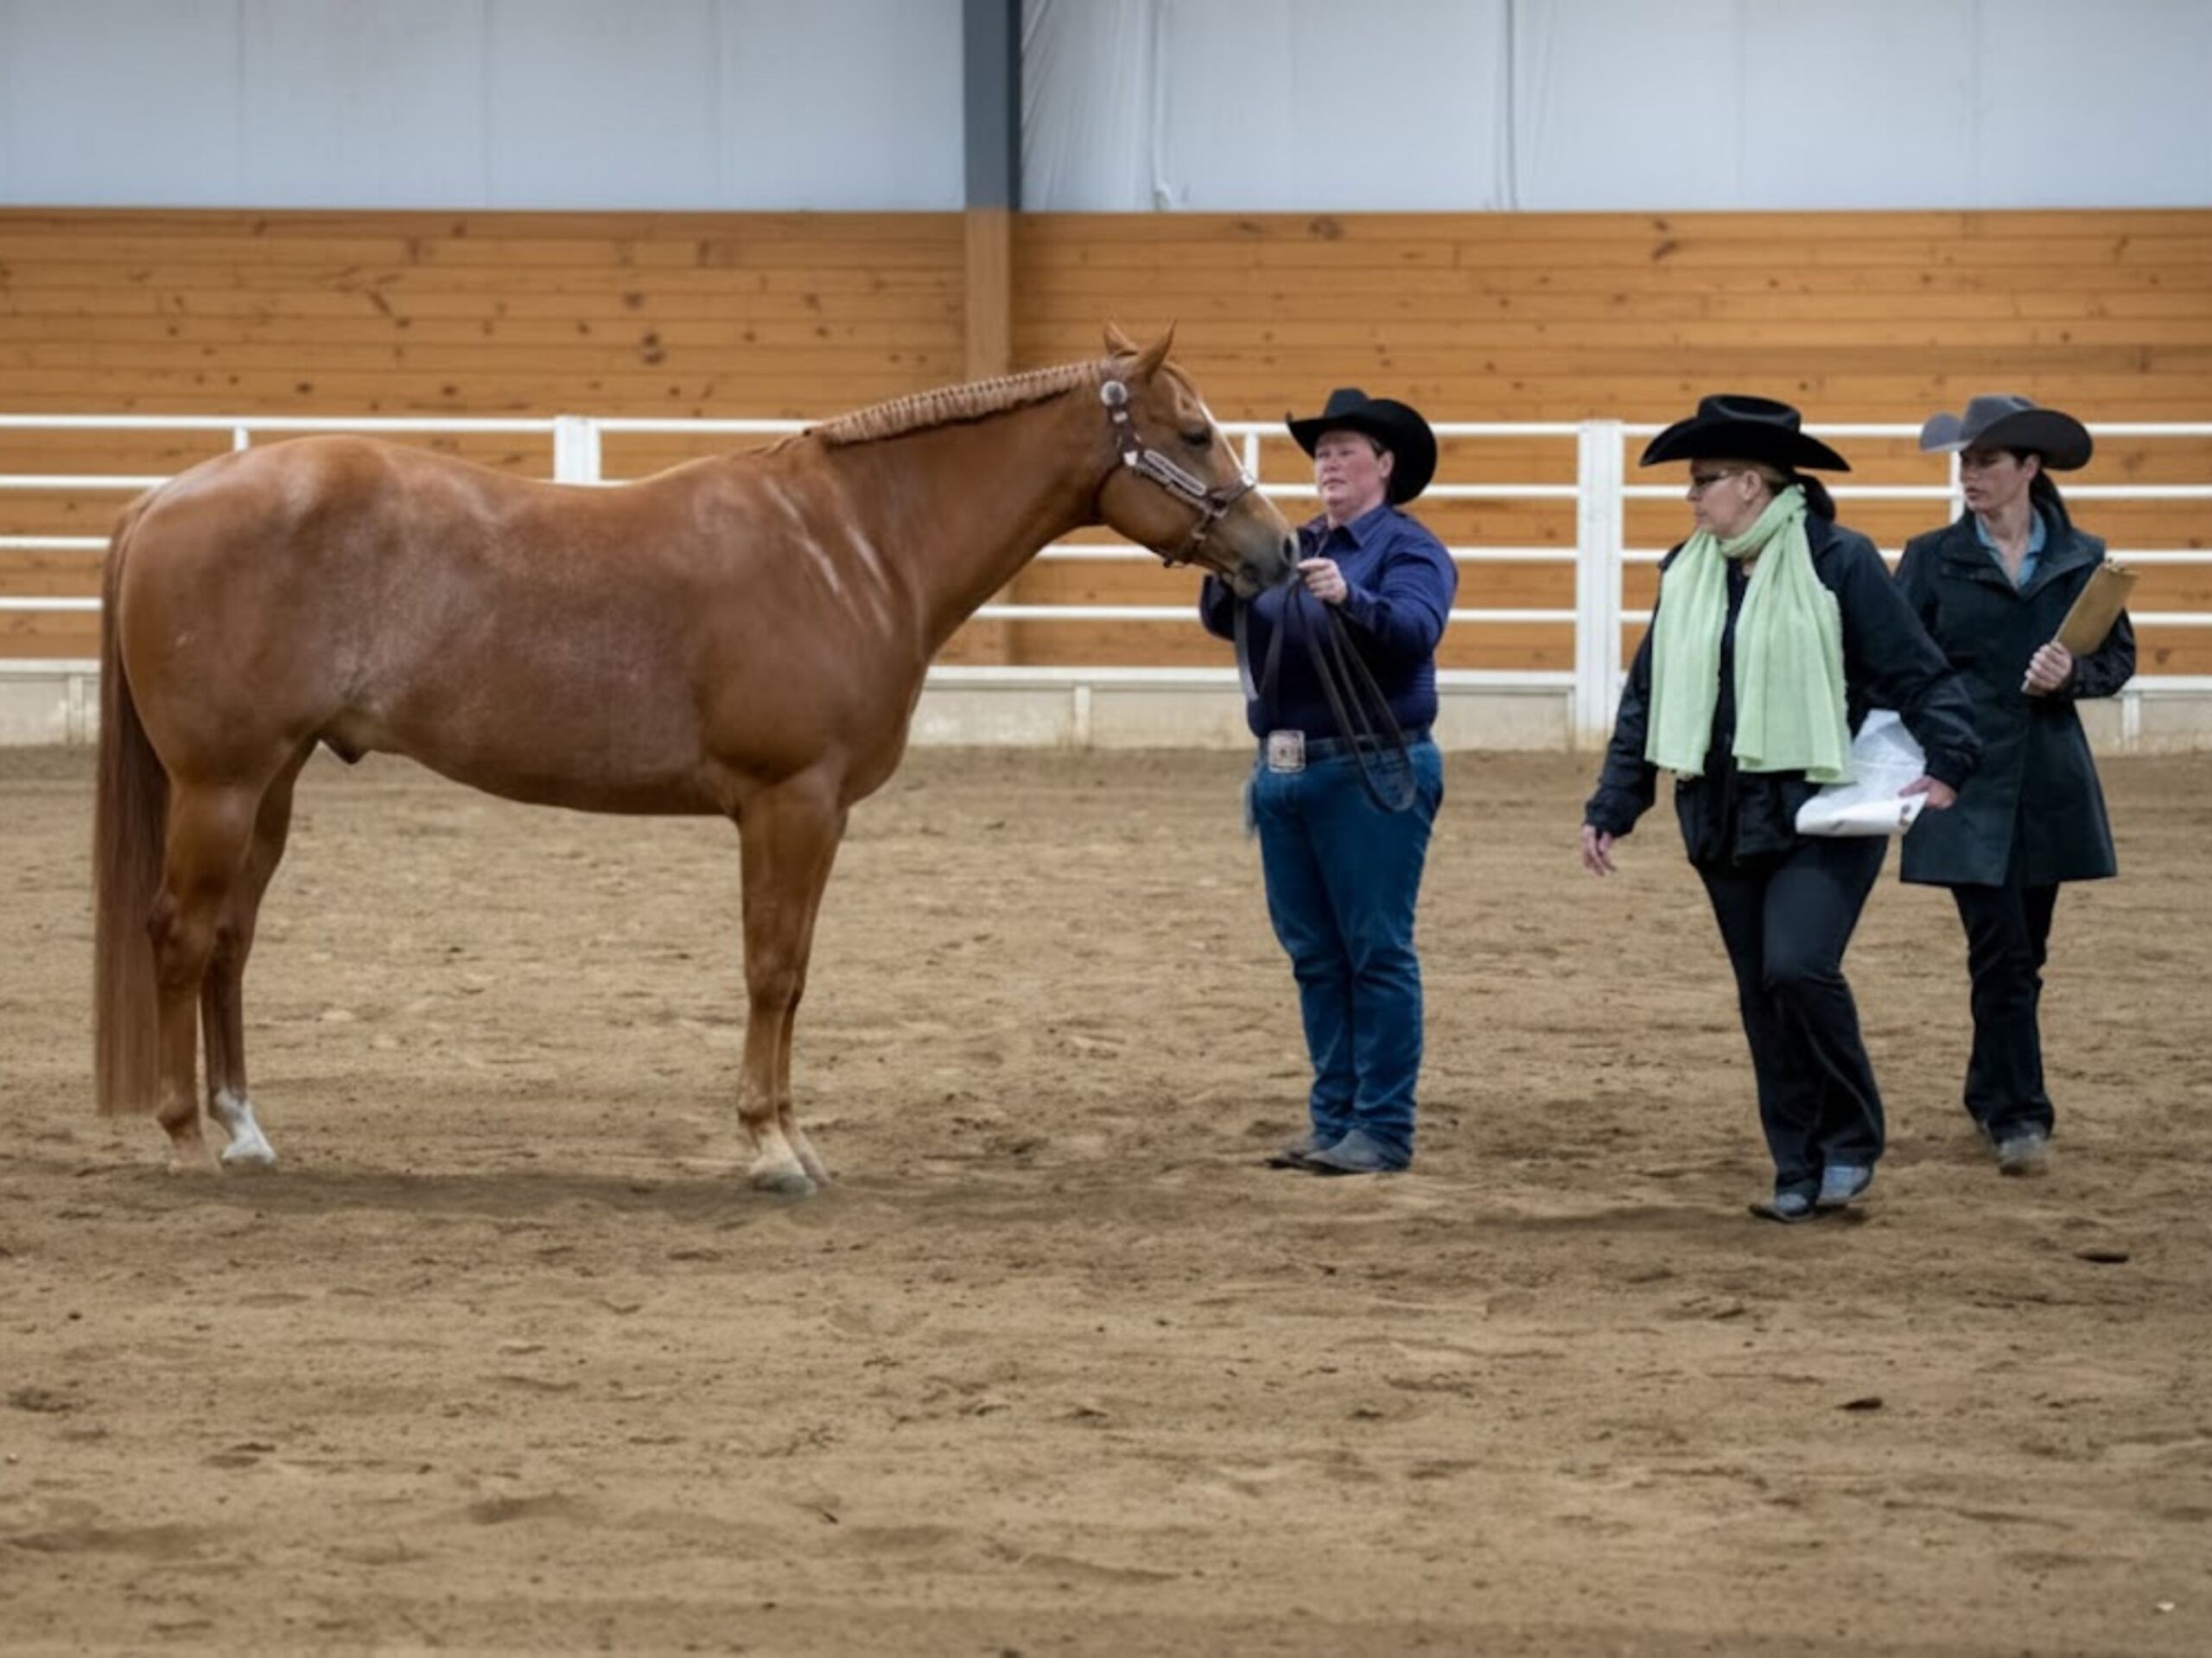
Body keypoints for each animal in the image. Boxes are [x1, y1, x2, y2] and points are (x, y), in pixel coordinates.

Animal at [92, 324, 1297, 1194]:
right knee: (182, 934)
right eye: (1194, 433)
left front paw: (795, 1140)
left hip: (274, 781)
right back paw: (184, 1140)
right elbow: (770, 967)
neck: (852, 544)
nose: (1281, 550)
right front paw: (768, 1149)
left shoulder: (821, 814)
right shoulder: (787, 803)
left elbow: (795, 974)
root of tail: (160, 499)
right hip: (220, 784)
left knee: (231, 942)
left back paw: (246, 1131)